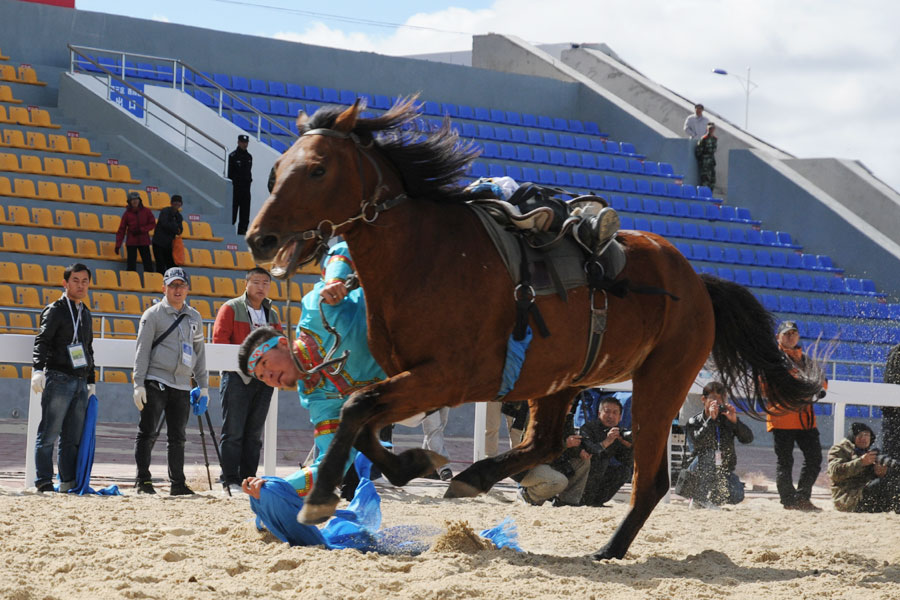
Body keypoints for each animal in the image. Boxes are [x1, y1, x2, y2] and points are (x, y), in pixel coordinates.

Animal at [246, 99, 824, 564]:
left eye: (317, 169)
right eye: (275, 171)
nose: (259, 238)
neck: (426, 254)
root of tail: (697, 281)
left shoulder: (447, 377)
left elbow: (355, 409)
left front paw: (320, 498)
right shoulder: (412, 380)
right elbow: (362, 420)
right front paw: (416, 463)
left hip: (660, 382)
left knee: (649, 480)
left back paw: (608, 548)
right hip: (562, 381)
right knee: (544, 441)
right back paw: (476, 476)